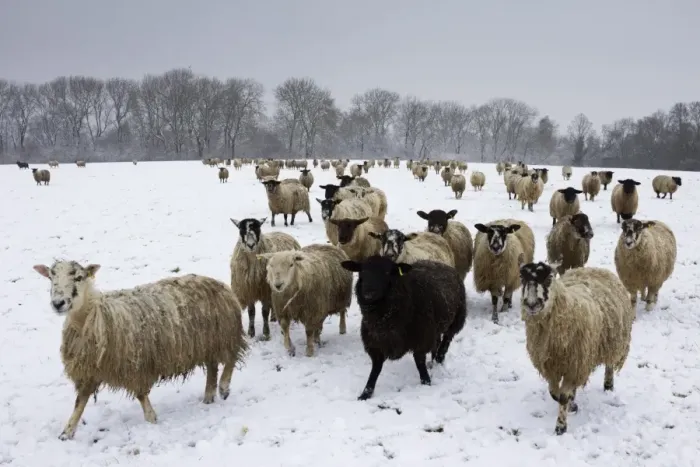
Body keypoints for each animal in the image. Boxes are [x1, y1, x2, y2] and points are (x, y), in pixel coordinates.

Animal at [33, 261, 248, 440]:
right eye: (51, 277)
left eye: (78, 277)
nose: (58, 303)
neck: (93, 316)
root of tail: (217, 283)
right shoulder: (89, 370)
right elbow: (80, 401)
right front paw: (67, 431)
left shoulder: (135, 365)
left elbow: (141, 395)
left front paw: (151, 418)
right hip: (208, 342)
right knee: (213, 367)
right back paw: (209, 395)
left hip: (225, 335)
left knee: (230, 359)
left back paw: (224, 388)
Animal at [341, 256, 467, 400]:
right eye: (362, 271)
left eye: (387, 272)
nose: (368, 293)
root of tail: (437, 262)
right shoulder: (375, 343)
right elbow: (375, 369)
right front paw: (366, 393)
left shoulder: (421, 340)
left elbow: (419, 363)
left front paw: (426, 383)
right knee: (437, 342)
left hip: (456, 319)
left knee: (446, 340)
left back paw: (439, 360)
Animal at [519, 261, 635, 435]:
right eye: (522, 279)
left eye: (548, 279)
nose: (532, 304)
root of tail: (595, 268)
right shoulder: (552, 366)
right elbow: (555, 393)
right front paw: (572, 406)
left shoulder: (574, 364)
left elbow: (563, 396)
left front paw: (561, 426)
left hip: (613, 342)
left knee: (609, 364)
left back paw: (608, 385)